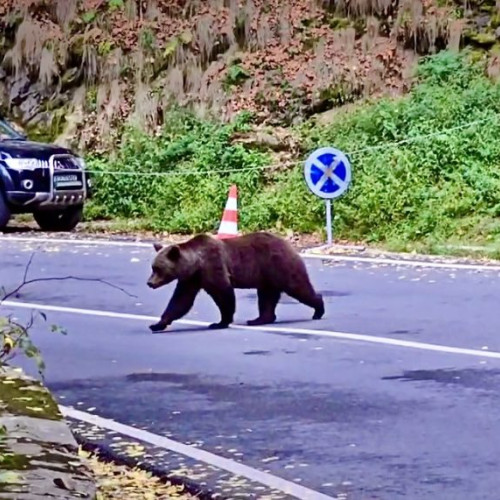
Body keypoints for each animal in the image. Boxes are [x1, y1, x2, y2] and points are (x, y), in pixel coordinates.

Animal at [146, 230, 324, 332]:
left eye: (158, 268)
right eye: (153, 267)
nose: (149, 283)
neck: (196, 264)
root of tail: (288, 244)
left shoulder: (214, 266)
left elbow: (223, 293)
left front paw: (220, 322)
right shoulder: (191, 279)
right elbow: (180, 300)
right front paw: (157, 324)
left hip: (280, 265)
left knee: (298, 286)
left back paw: (318, 310)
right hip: (267, 276)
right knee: (266, 297)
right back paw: (258, 319)